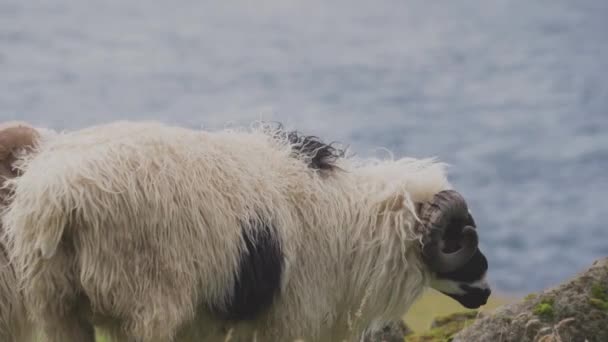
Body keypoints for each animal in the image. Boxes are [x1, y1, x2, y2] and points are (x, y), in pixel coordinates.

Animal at [2, 121, 492, 340]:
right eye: (458, 238)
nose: (487, 290)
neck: (352, 219)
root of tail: (57, 194)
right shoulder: (290, 317)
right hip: (145, 304)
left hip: (56, 307)